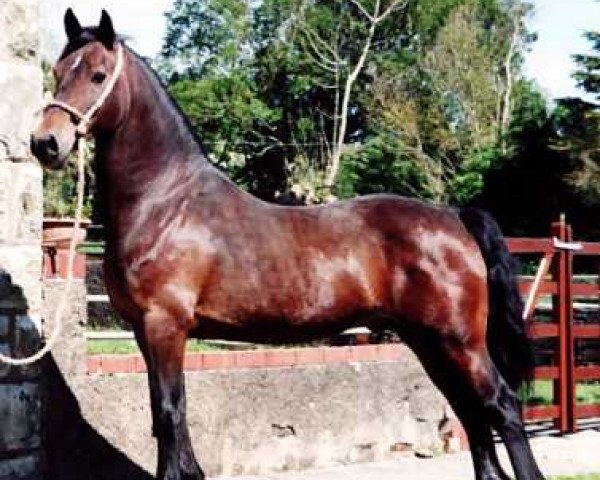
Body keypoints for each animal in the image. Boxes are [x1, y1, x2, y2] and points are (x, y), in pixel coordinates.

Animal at [32, 10, 548, 480]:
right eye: (57, 72)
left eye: (98, 75)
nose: (46, 143)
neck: (165, 200)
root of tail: (453, 217)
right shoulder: (145, 331)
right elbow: (167, 415)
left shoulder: (165, 325)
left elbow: (169, 412)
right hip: (429, 342)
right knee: (470, 413)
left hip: (459, 342)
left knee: (501, 406)